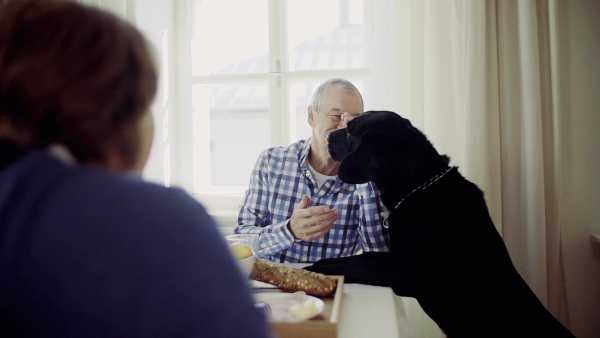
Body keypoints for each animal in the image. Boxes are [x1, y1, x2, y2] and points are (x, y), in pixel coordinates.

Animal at [308, 111, 576, 338]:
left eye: (349, 131)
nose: (328, 136)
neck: (418, 187)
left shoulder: (409, 276)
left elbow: (359, 267)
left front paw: (316, 269)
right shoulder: (396, 258)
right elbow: (361, 257)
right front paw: (325, 263)